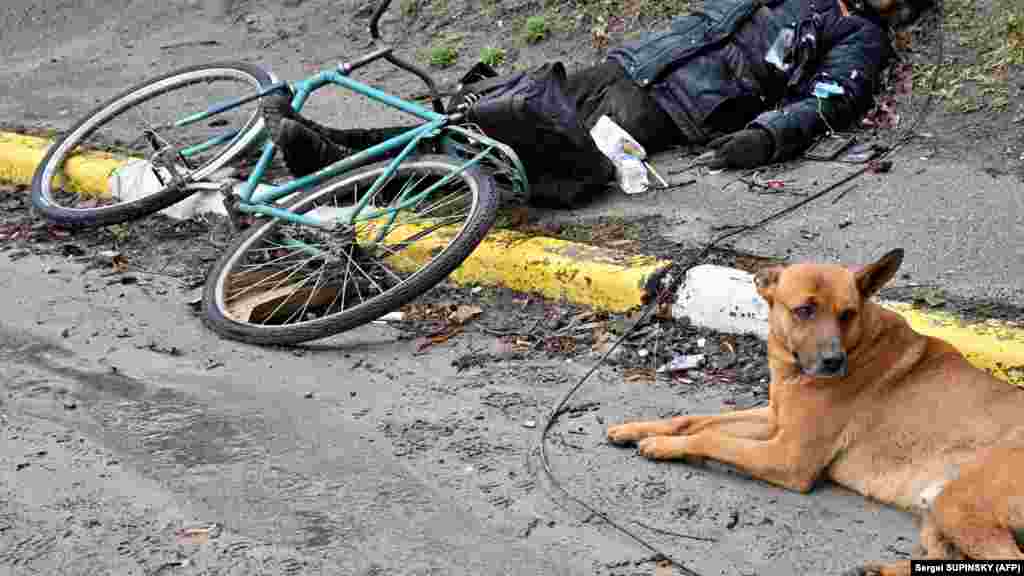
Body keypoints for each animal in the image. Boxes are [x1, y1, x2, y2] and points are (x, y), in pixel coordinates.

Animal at [606, 249, 1024, 569]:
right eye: (804, 310)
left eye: (847, 314)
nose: (832, 363)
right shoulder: (774, 419)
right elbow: (695, 419)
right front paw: (636, 428)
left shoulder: (788, 457)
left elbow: (712, 437)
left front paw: (662, 446)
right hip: (938, 511)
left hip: (958, 505)